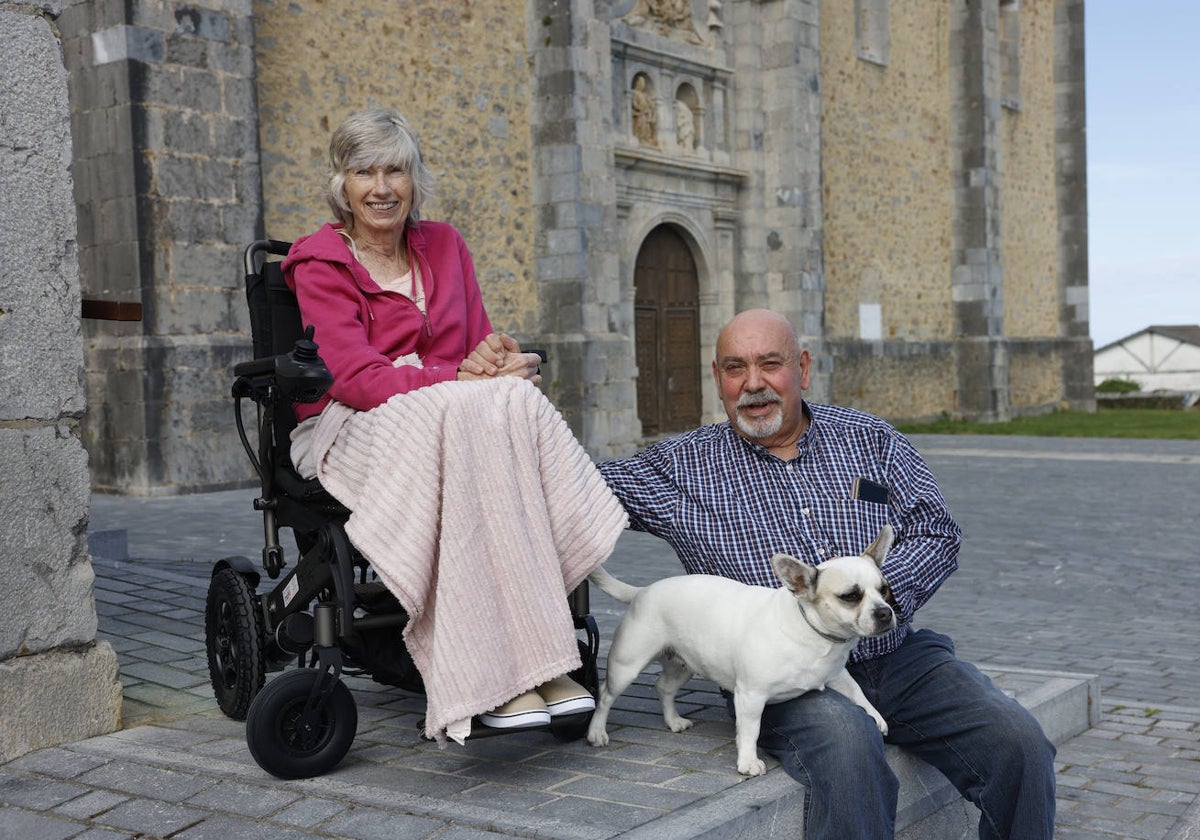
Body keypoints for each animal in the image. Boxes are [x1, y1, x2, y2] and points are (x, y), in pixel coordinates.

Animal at [585, 525, 897, 772]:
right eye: (850, 596)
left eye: (884, 590)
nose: (885, 612)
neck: (812, 633)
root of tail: (642, 591)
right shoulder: (751, 696)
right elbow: (750, 731)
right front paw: (748, 762)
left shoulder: (837, 675)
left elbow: (857, 693)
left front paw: (875, 716)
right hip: (626, 665)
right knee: (605, 696)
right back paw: (597, 732)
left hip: (684, 663)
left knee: (664, 687)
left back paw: (673, 721)